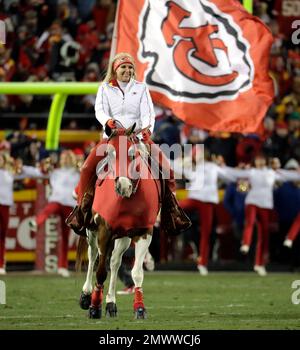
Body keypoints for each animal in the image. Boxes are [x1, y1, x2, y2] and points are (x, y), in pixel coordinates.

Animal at [75, 124, 162, 318]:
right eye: (108, 153)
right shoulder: (104, 231)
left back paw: (111, 303)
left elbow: (136, 273)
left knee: (115, 262)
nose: (122, 185)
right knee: (93, 257)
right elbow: (100, 271)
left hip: (123, 237)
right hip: (92, 231)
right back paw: (86, 295)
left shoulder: (144, 233)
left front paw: (139, 308)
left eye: (132, 154)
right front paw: (94, 307)